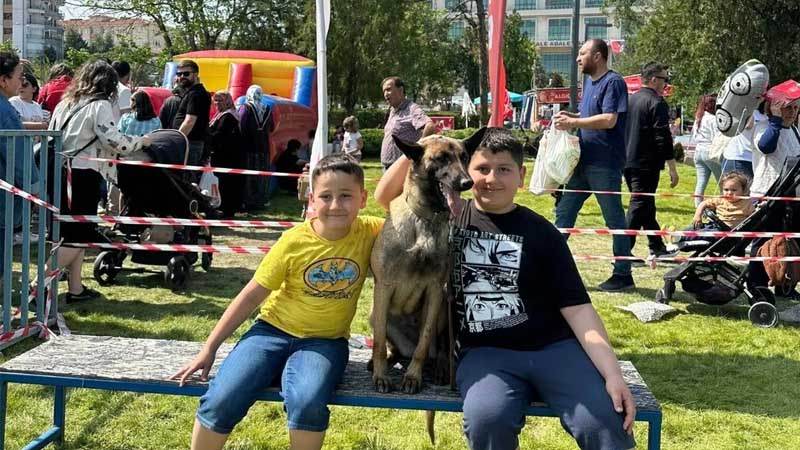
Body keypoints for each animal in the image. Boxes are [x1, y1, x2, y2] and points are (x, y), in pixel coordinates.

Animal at [370, 128, 486, 398]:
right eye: (440, 158)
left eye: (465, 157)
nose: (467, 183)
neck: (425, 220)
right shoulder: (384, 287)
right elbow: (378, 341)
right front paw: (381, 376)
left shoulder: (435, 290)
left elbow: (424, 343)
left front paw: (413, 377)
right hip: (375, 313)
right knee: (391, 346)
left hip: (443, 306)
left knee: (439, 345)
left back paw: (442, 367)